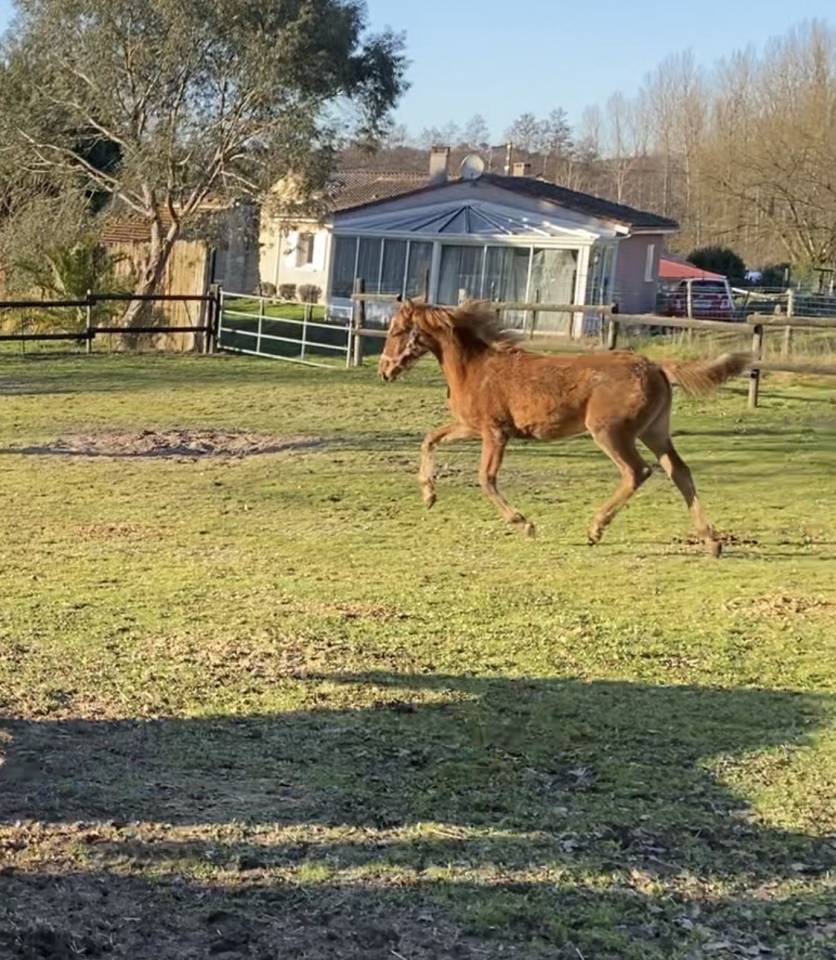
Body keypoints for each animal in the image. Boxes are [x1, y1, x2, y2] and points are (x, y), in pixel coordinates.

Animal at [378, 299, 749, 557]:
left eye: (396, 331)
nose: (384, 371)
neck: (475, 368)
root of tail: (655, 365)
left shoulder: (496, 433)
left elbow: (486, 479)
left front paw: (524, 524)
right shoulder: (473, 427)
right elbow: (430, 439)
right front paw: (429, 495)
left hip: (610, 433)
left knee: (637, 472)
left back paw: (595, 529)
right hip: (654, 432)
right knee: (679, 471)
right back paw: (711, 541)